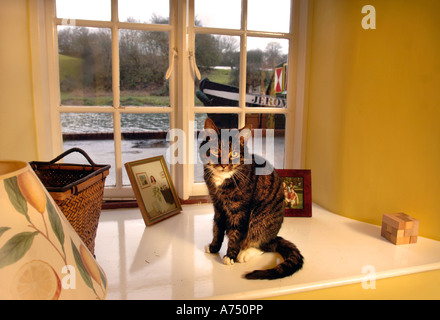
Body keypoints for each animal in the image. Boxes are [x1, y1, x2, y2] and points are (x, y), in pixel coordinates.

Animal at [201, 118, 304, 280]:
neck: (222, 180)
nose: (224, 165)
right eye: (215, 151)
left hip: (260, 219)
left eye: (234, 153)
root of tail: (275, 236)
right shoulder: (217, 205)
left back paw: (245, 253)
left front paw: (230, 256)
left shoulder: (241, 210)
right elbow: (217, 228)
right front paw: (213, 247)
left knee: (265, 244)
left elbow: (236, 233)